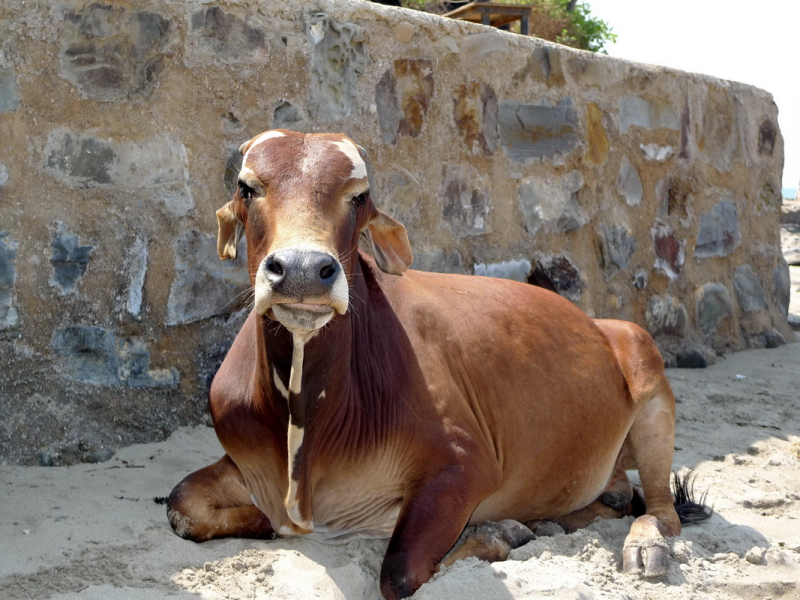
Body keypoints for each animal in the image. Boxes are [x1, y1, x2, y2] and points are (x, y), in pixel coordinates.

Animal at [167, 129, 688, 596]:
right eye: (246, 187)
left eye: (359, 197)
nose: (302, 270)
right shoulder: (246, 465)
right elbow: (183, 507)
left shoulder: (464, 465)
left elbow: (401, 573)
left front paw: (500, 532)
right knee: (617, 498)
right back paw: (559, 519)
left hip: (648, 371)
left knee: (662, 510)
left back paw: (644, 547)